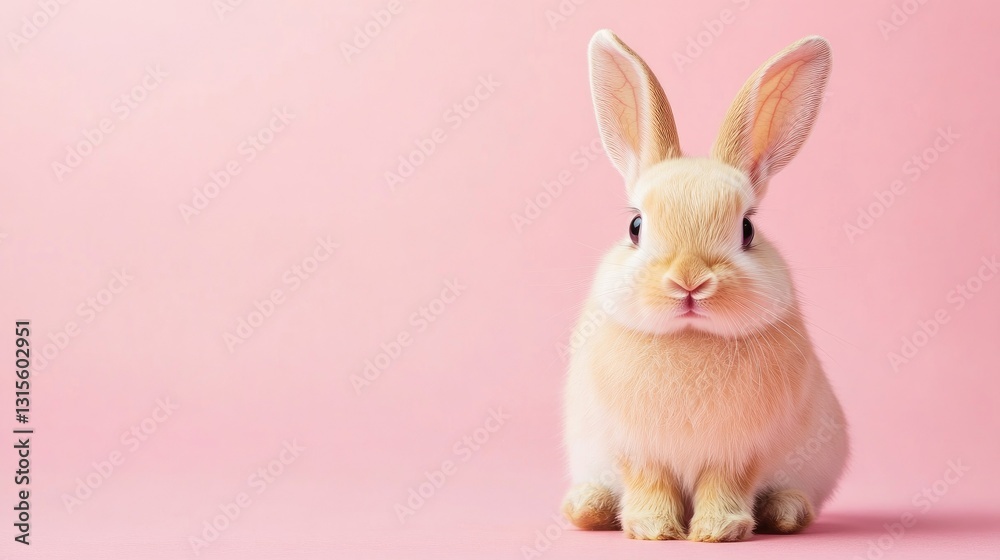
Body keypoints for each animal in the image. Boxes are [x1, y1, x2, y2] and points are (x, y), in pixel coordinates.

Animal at [561, 30, 849, 542]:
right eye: (635, 227)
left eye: (747, 229)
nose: (689, 281)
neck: (690, 339)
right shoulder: (637, 450)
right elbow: (649, 483)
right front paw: (653, 529)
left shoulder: (740, 453)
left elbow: (725, 485)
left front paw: (718, 531)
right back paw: (587, 507)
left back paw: (786, 512)